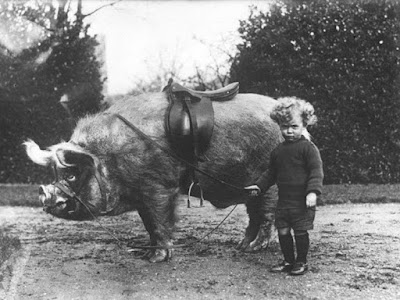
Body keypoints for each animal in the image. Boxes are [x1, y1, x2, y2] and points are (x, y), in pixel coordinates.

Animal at [24, 89, 282, 262]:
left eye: (72, 175)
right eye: (56, 173)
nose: (43, 192)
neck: (111, 156)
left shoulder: (158, 187)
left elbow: (159, 221)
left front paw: (156, 259)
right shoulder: (141, 194)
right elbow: (148, 223)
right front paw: (146, 252)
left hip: (269, 184)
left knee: (266, 216)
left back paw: (254, 248)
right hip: (251, 187)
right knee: (253, 216)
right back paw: (241, 246)